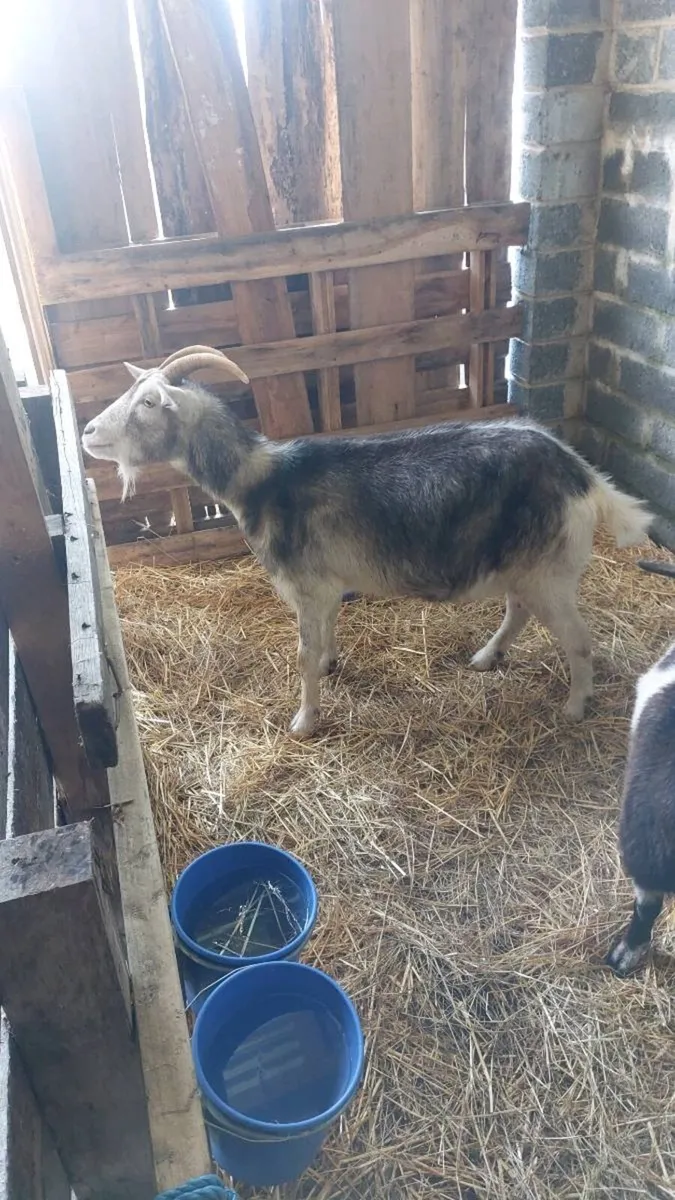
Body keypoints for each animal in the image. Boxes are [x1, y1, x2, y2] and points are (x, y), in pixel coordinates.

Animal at [82, 345, 653, 737]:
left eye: (148, 402)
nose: (87, 432)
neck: (261, 480)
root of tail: (583, 477)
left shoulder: (307, 586)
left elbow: (302, 654)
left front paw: (303, 722)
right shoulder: (325, 585)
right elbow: (327, 634)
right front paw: (331, 666)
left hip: (547, 570)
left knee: (577, 639)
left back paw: (575, 707)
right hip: (524, 563)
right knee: (518, 612)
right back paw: (486, 658)